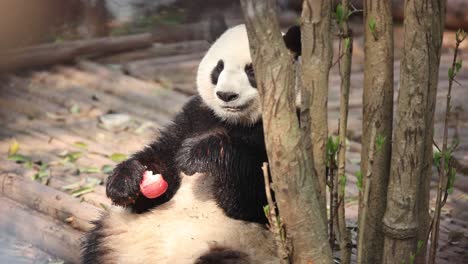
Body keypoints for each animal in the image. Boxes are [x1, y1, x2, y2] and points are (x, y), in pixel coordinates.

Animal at [81, 23, 300, 262]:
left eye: (251, 70)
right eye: (218, 68)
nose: (226, 95)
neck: (237, 121)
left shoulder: (285, 134)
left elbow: (260, 199)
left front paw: (199, 154)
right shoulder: (193, 117)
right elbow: (162, 160)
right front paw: (125, 182)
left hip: (243, 247)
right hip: (116, 233)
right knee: (97, 241)